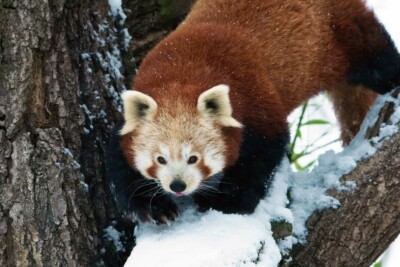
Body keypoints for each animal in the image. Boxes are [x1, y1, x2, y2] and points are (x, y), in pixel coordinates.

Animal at [106, 0, 400, 224]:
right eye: (160, 159)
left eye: (193, 158)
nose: (178, 186)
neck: (182, 75)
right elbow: (119, 163)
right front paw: (153, 207)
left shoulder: (256, 102)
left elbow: (262, 156)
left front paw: (227, 202)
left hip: (342, 31)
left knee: (378, 58)